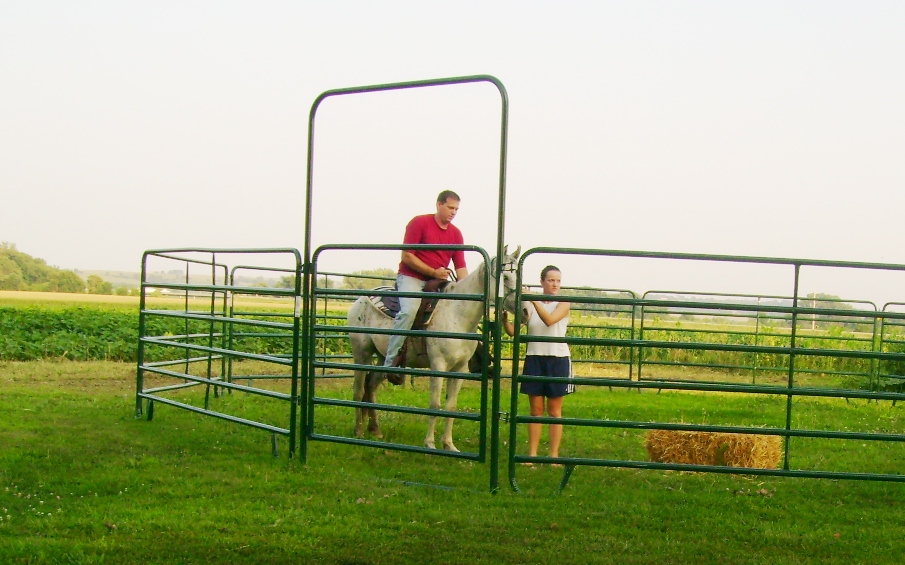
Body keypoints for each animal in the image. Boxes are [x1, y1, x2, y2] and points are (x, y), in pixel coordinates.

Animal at [344, 245, 520, 452]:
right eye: (505, 277)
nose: (524, 309)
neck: (456, 313)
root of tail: (362, 299)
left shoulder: (460, 369)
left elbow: (451, 406)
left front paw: (449, 444)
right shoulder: (438, 366)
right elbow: (435, 404)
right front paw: (429, 443)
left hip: (382, 357)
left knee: (370, 387)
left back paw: (375, 429)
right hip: (361, 354)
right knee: (358, 390)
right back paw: (358, 431)